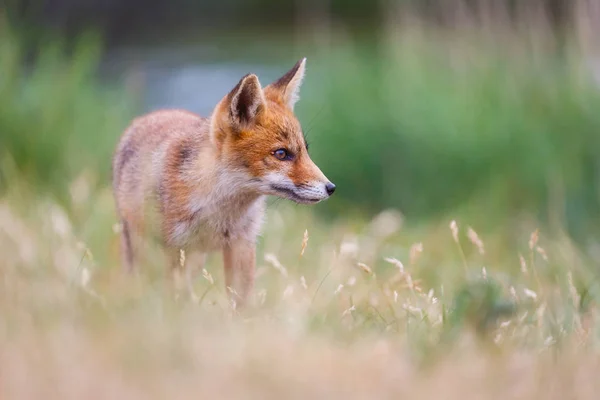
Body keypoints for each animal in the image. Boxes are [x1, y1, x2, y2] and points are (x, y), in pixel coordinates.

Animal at [112, 57, 336, 306]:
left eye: (305, 151)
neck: (219, 214)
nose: (331, 188)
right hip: (144, 249)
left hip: (194, 260)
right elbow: (173, 299)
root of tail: (154, 114)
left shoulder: (241, 245)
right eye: (281, 153)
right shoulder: (174, 249)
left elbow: (241, 302)